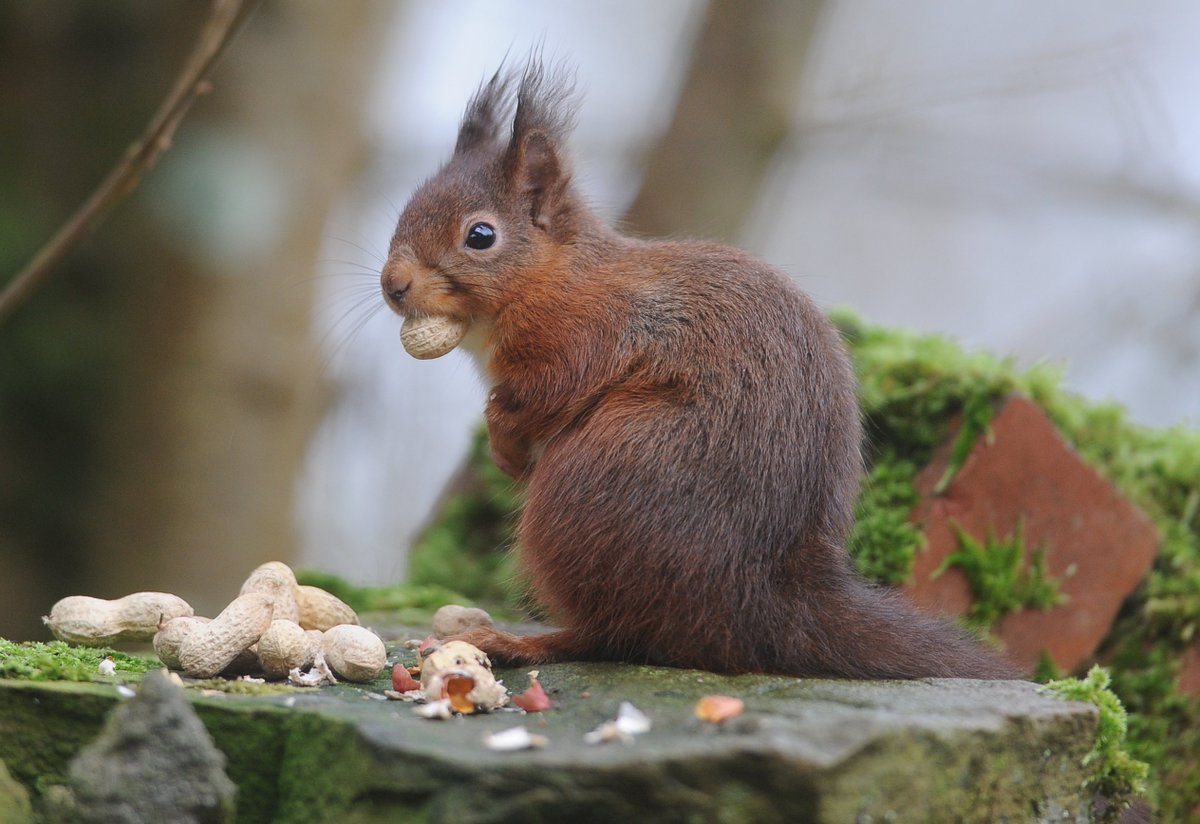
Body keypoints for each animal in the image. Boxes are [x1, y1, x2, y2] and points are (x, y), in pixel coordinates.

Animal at [381, 62, 1017, 680]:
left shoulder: (591, 334)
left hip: (594, 482)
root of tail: (757, 599)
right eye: (406, 211)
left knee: (612, 635)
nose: (392, 284)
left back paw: (523, 643)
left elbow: (541, 394)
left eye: (480, 236)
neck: (553, 277)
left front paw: (504, 444)